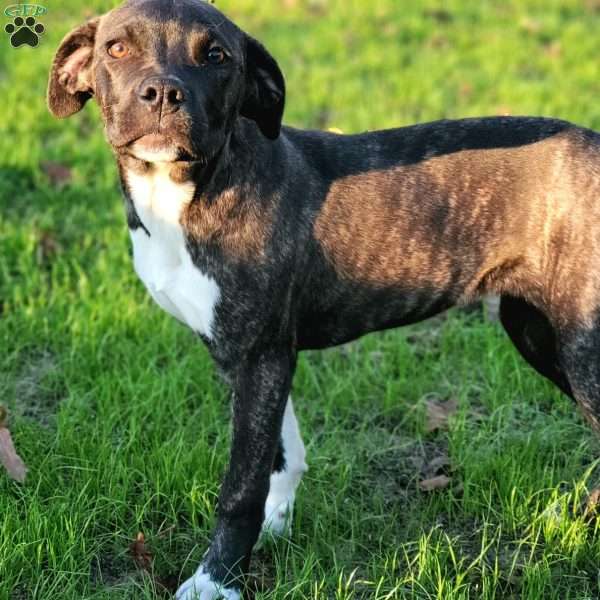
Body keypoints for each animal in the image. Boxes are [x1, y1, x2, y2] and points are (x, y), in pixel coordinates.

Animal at [48, 1, 600, 600]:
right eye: (116, 48)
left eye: (217, 56)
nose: (163, 93)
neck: (191, 190)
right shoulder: (258, 356)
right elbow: (281, 454)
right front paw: (275, 527)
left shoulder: (260, 356)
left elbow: (239, 487)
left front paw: (218, 580)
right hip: (537, 331)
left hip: (581, 348)